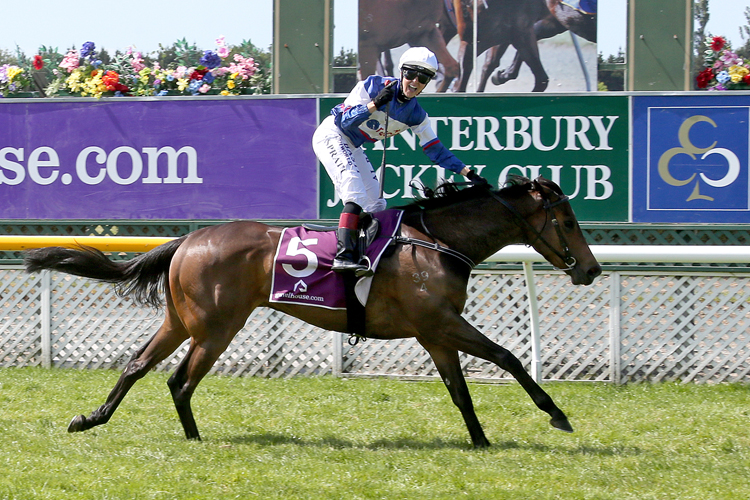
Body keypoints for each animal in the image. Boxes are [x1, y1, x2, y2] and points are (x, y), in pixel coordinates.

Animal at [25, 177, 604, 450]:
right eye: (568, 221)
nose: (592, 269)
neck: (436, 241)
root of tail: (188, 239)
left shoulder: (436, 335)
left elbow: (461, 391)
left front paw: (481, 440)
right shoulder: (440, 324)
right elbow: (508, 356)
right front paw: (556, 413)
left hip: (180, 321)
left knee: (140, 367)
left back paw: (93, 418)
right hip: (215, 327)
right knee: (180, 380)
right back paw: (193, 438)